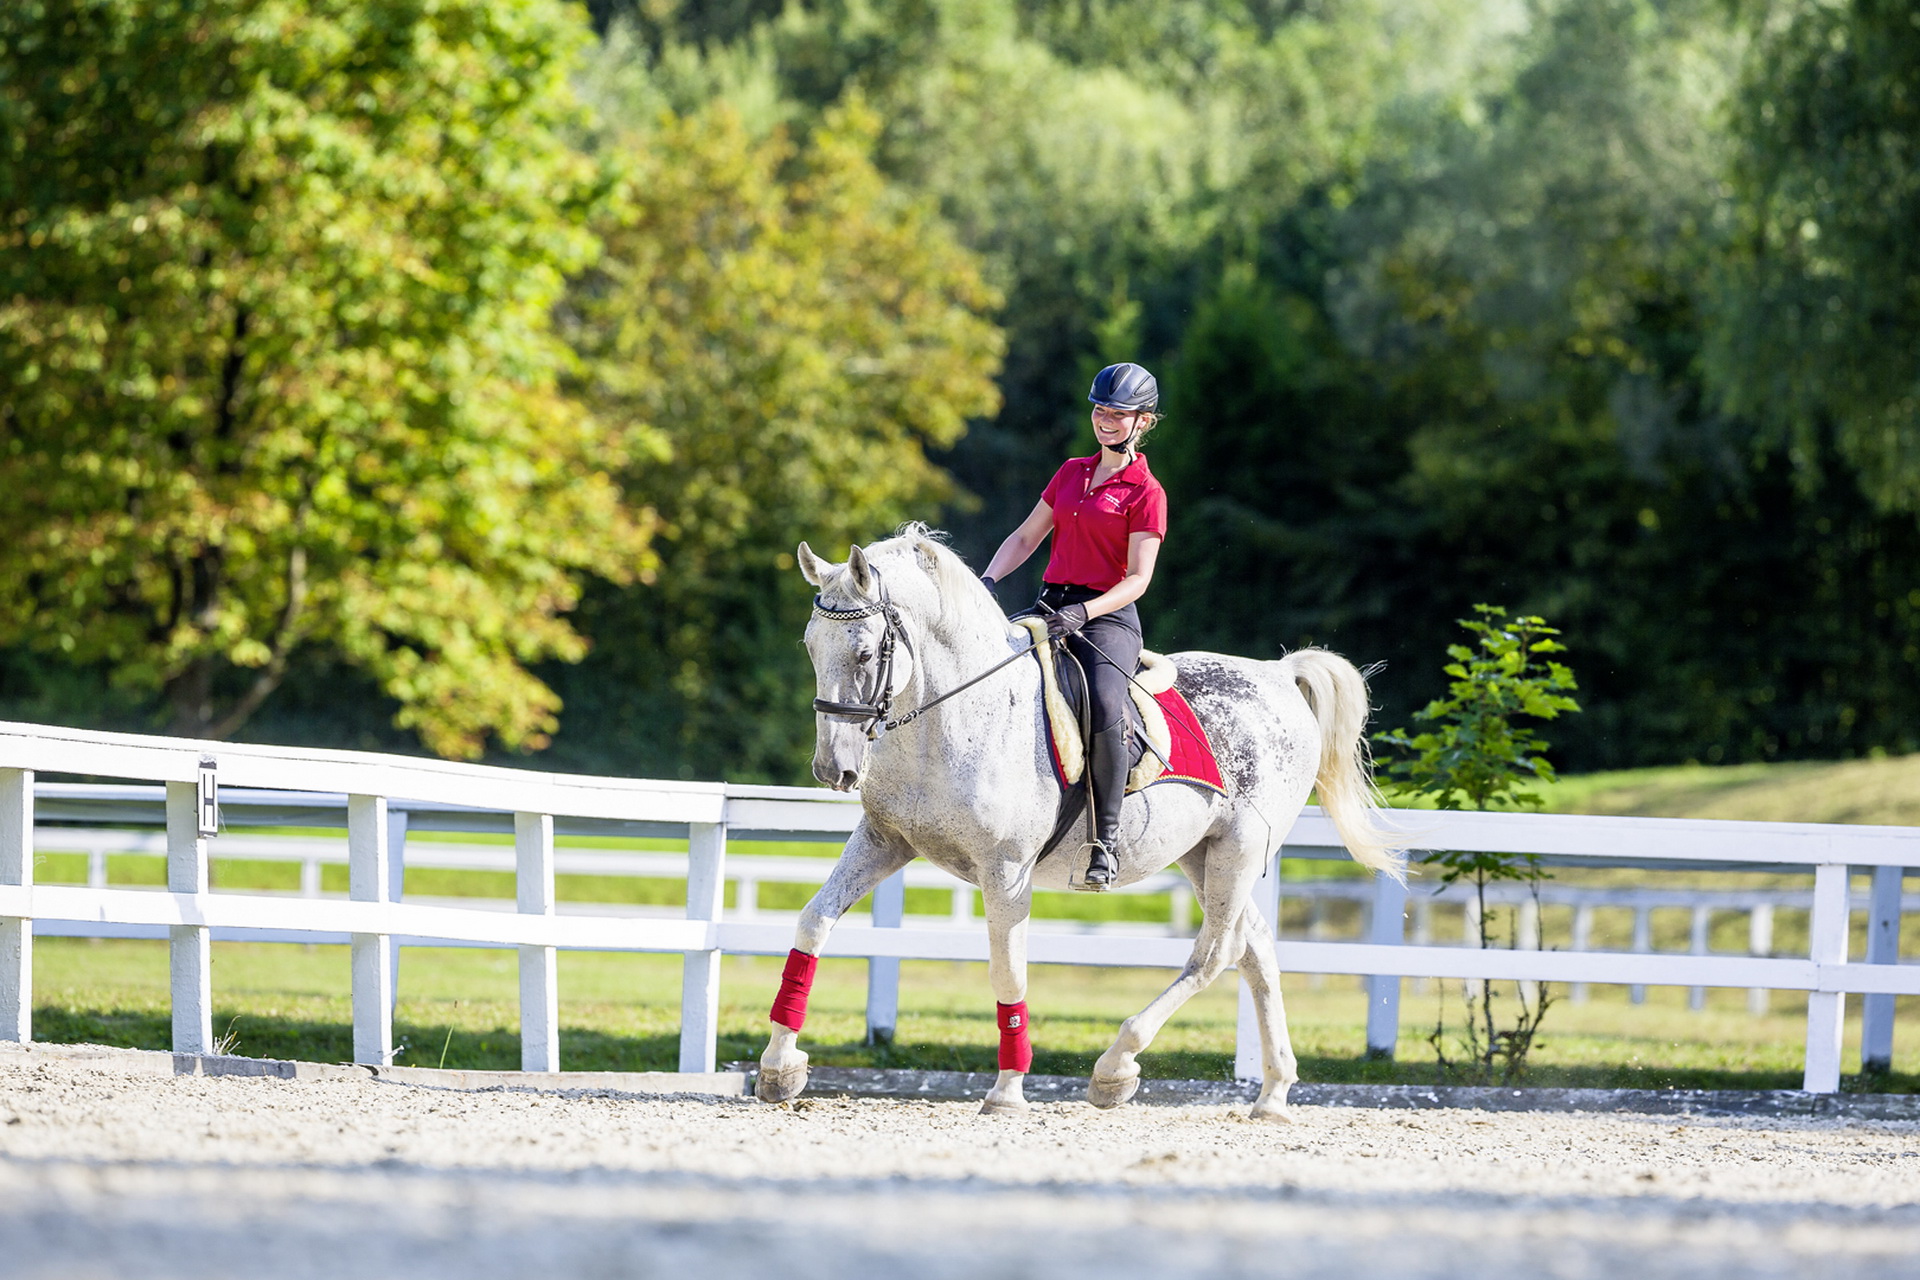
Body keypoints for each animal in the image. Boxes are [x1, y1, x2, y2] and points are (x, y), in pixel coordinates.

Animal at [756, 525, 1405, 1113]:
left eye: (865, 653)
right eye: (811, 647)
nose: (832, 769)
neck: (956, 717)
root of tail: (1277, 676)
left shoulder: (1005, 871)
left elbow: (1008, 975)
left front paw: (1007, 1092)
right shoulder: (884, 841)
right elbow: (812, 923)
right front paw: (779, 1067)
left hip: (1240, 850)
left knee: (1216, 954)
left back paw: (1115, 1069)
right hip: (1204, 856)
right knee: (1257, 951)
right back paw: (1271, 1094)